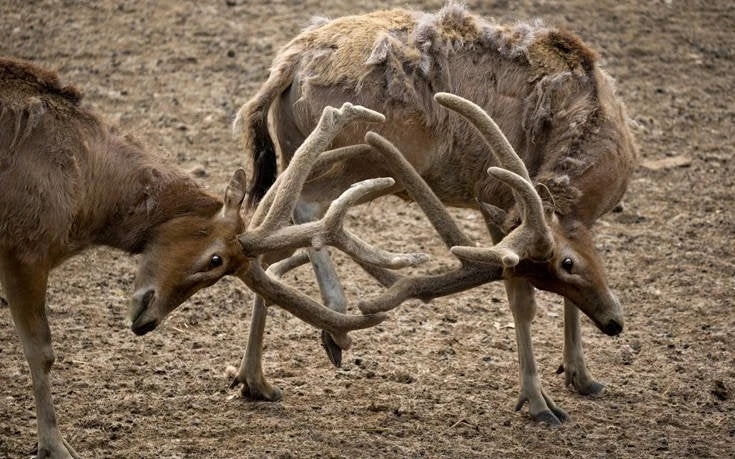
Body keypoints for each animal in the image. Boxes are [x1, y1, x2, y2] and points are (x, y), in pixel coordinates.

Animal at [0, 58, 402, 459]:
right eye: (215, 260)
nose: (146, 321)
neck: (86, 189)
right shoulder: (24, 247)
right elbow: (41, 351)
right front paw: (54, 446)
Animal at [231, 4, 640, 428]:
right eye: (567, 263)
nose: (614, 322)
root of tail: (288, 62)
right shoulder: (500, 197)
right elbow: (521, 301)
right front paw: (539, 402)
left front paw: (581, 375)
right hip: (367, 152)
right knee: (304, 208)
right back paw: (336, 321)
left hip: (299, 149)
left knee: (264, 231)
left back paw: (255, 379)